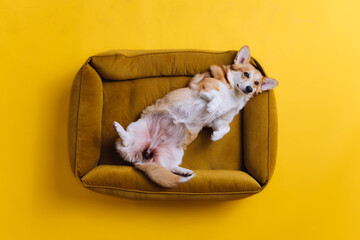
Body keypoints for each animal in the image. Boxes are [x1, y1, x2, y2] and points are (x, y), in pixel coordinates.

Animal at [113, 45, 278, 188]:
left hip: (176, 153)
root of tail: (143, 157)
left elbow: (226, 128)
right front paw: (212, 106)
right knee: (125, 142)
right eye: (246, 74)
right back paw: (119, 129)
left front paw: (216, 136)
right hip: (137, 126)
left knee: (165, 166)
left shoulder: (220, 121)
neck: (234, 95)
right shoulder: (203, 88)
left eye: (256, 83)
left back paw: (184, 172)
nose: (250, 89)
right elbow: (217, 95)